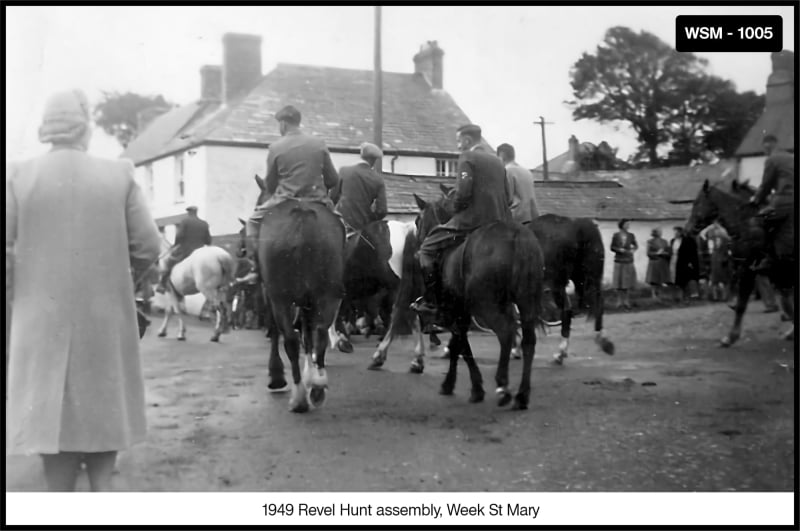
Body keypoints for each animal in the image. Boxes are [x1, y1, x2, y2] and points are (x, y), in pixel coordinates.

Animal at [250, 183, 344, 412]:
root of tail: (302, 215)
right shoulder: (308, 300)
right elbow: (307, 333)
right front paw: (312, 373)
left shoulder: (270, 295)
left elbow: (278, 330)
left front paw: (276, 375)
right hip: (326, 295)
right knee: (320, 333)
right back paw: (317, 387)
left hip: (280, 298)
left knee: (291, 339)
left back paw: (299, 396)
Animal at [404, 193, 548, 410]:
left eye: (417, 221)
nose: (415, 252)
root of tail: (516, 236)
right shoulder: (461, 312)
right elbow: (457, 346)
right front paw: (451, 383)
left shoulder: (455, 312)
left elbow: (462, 346)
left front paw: (475, 387)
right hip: (525, 303)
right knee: (528, 342)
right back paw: (522, 395)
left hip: (486, 306)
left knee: (506, 333)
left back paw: (503, 387)